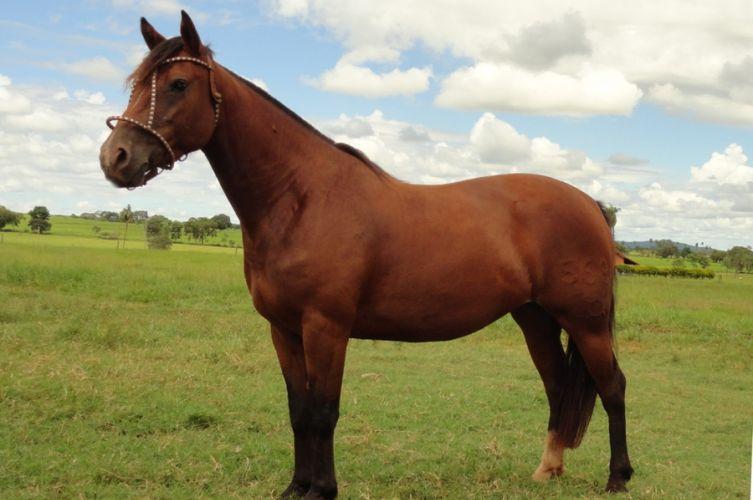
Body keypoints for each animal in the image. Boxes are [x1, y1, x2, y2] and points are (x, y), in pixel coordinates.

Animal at [97, 10, 632, 496]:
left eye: (178, 84)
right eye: (136, 83)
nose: (114, 158)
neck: (301, 197)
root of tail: (589, 203)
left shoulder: (326, 327)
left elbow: (323, 411)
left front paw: (322, 489)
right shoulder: (284, 330)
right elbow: (299, 411)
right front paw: (297, 487)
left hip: (584, 320)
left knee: (612, 387)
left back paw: (617, 478)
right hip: (535, 318)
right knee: (558, 386)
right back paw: (548, 469)